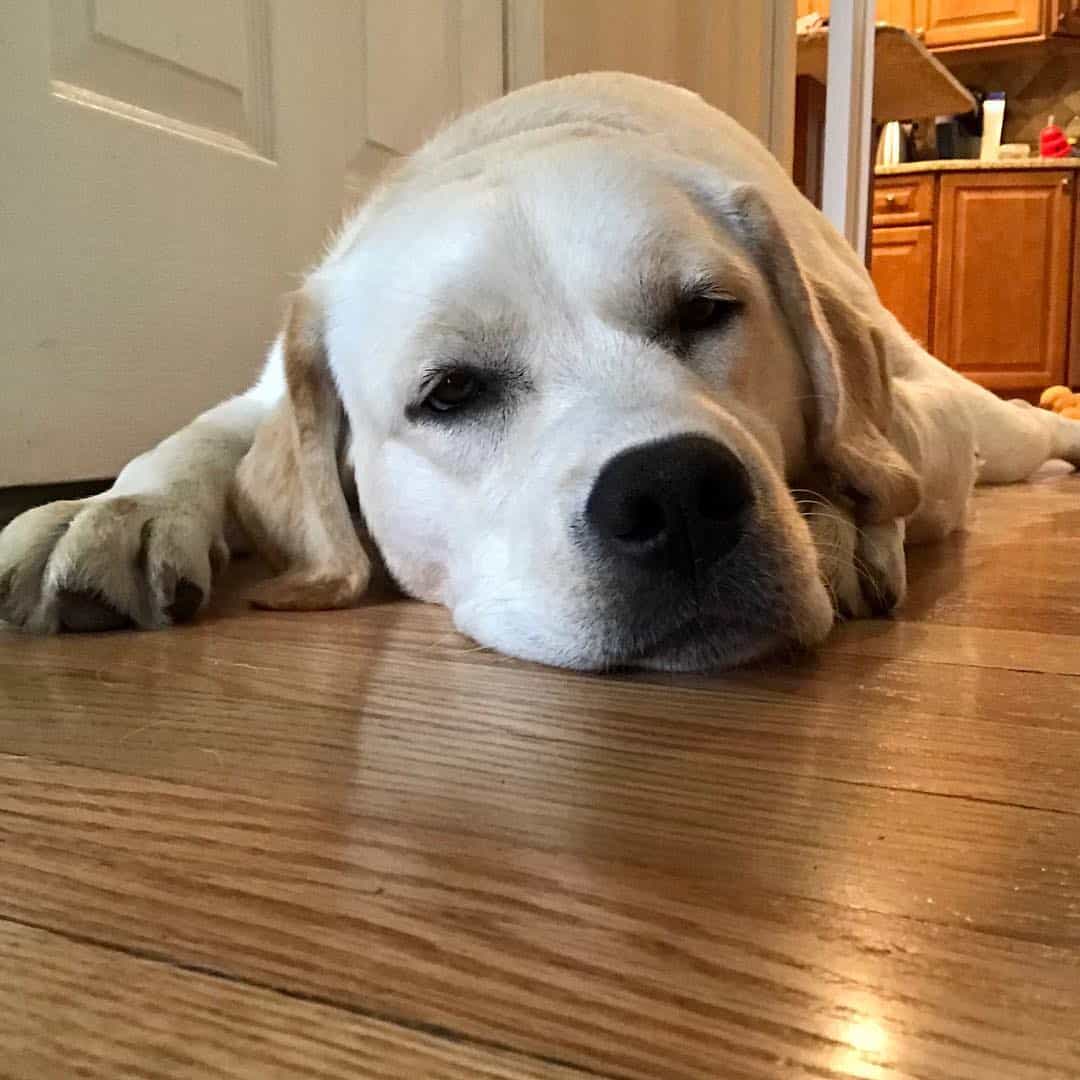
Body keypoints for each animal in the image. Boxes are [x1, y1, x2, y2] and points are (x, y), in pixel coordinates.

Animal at [2, 73, 1080, 665]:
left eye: (706, 311)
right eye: (450, 392)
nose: (675, 494)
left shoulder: (912, 410)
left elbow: (876, 454)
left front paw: (843, 522)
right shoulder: (269, 386)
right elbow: (199, 437)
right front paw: (110, 512)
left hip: (981, 422)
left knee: (1018, 429)